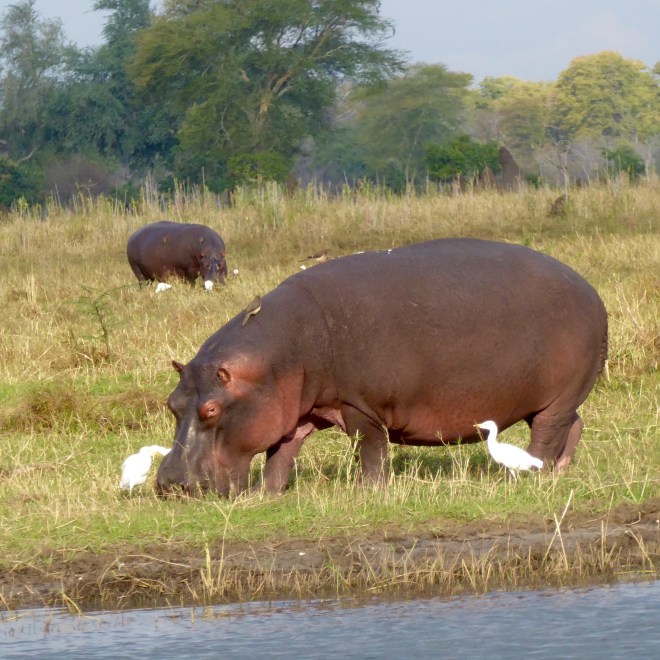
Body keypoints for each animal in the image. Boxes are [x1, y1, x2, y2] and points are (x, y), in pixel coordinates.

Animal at [157, 238, 607, 496]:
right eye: (171, 403)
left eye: (211, 409)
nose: (169, 484)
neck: (281, 354)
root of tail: (588, 288)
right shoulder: (294, 410)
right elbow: (280, 453)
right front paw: (264, 495)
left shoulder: (360, 405)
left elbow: (369, 449)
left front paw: (367, 491)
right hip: (551, 398)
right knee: (573, 425)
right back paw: (561, 472)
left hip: (559, 396)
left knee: (547, 434)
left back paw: (539, 475)